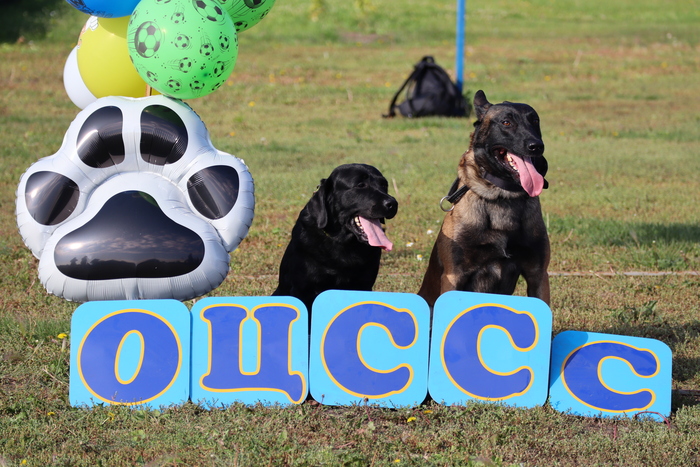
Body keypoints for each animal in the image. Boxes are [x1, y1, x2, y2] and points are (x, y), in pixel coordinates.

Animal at [418, 90, 551, 307]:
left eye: (535, 121)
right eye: (506, 122)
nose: (536, 146)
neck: (502, 196)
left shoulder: (537, 275)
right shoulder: (454, 275)